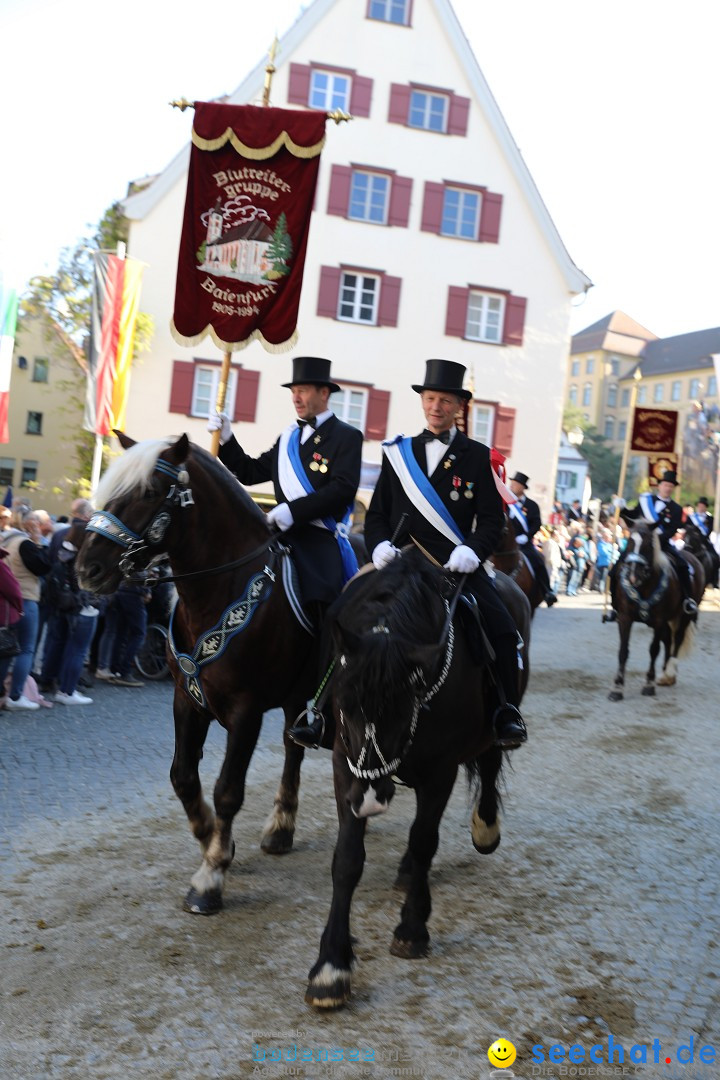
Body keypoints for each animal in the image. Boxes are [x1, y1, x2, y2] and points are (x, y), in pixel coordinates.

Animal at [76, 434, 317, 915]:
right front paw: (212, 841)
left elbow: (228, 789)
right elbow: (184, 777)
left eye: (149, 492)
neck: (217, 590)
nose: (86, 569)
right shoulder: (188, 699)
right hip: (294, 696)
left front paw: (211, 876)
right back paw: (280, 827)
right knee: (292, 748)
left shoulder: (246, 711)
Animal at [302, 552, 533, 1006]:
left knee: (490, 763)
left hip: (495, 726)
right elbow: (347, 859)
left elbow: (425, 839)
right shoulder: (343, 765)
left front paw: (412, 928)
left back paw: (485, 828)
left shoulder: (440, 770)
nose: (371, 799)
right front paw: (331, 965)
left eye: (403, 705)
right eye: (345, 705)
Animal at [608, 520, 703, 704]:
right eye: (629, 542)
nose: (633, 576)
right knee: (668, 641)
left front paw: (649, 685)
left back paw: (669, 673)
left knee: (677, 639)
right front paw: (617, 688)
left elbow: (653, 650)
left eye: (649, 544)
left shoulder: (659, 620)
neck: (644, 585)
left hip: (684, 616)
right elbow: (623, 651)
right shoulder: (625, 618)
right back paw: (666, 674)